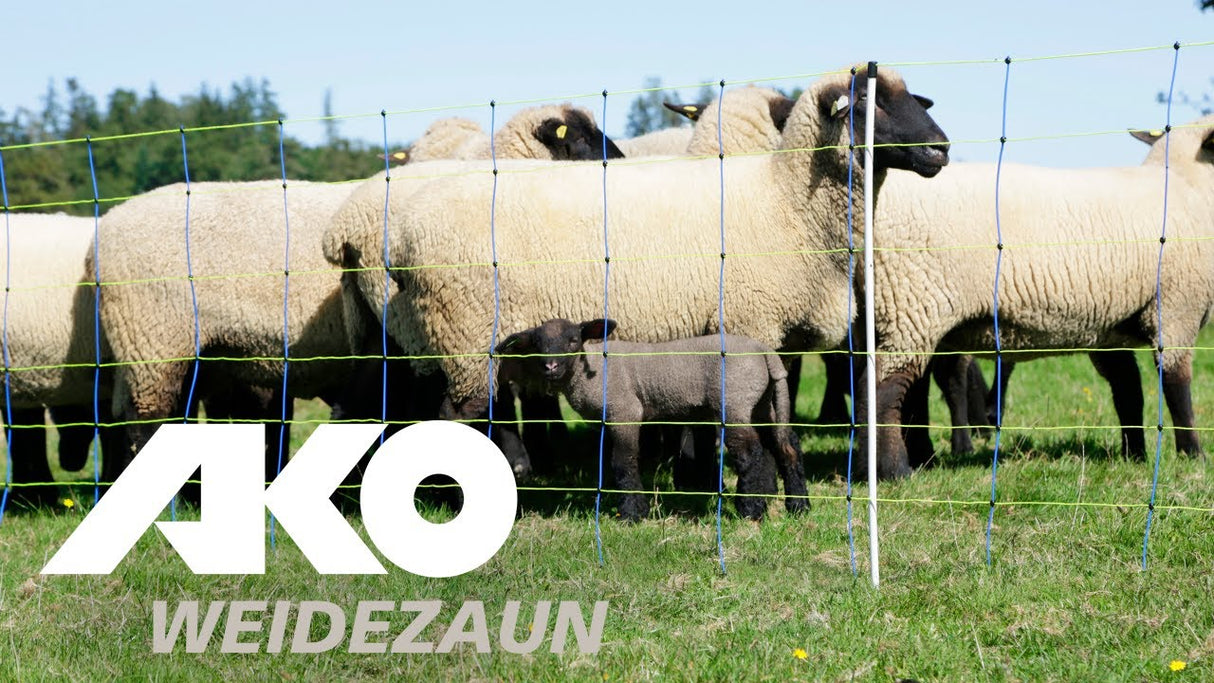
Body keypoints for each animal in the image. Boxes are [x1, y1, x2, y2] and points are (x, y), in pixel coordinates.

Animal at [366, 65, 950, 464]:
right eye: (869, 103)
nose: (942, 149)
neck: (786, 201)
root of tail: (406, 238)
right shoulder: (750, 320)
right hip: (467, 334)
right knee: (453, 415)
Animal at [494, 318, 807, 520]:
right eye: (537, 344)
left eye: (573, 340)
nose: (550, 366)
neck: (589, 370)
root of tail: (765, 352)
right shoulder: (606, 421)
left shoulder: (625, 411)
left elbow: (624, 461)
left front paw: (633, 513)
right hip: (762, 402)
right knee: (786, 445)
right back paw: (798, 506)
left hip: (735, 402)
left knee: (750, 453)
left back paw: (751, 510)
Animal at [865, 114, 1214, 479]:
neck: (1189, 187)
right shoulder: (1177, 308)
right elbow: (1176, 387)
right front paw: (1193, 455)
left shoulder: (1109, 327)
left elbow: (1128, 390)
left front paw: (1135, 456)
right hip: (914, 303)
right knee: (883, 389)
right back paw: (894, 470)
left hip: (907, 311)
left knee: (911, 390)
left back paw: (921, 458)